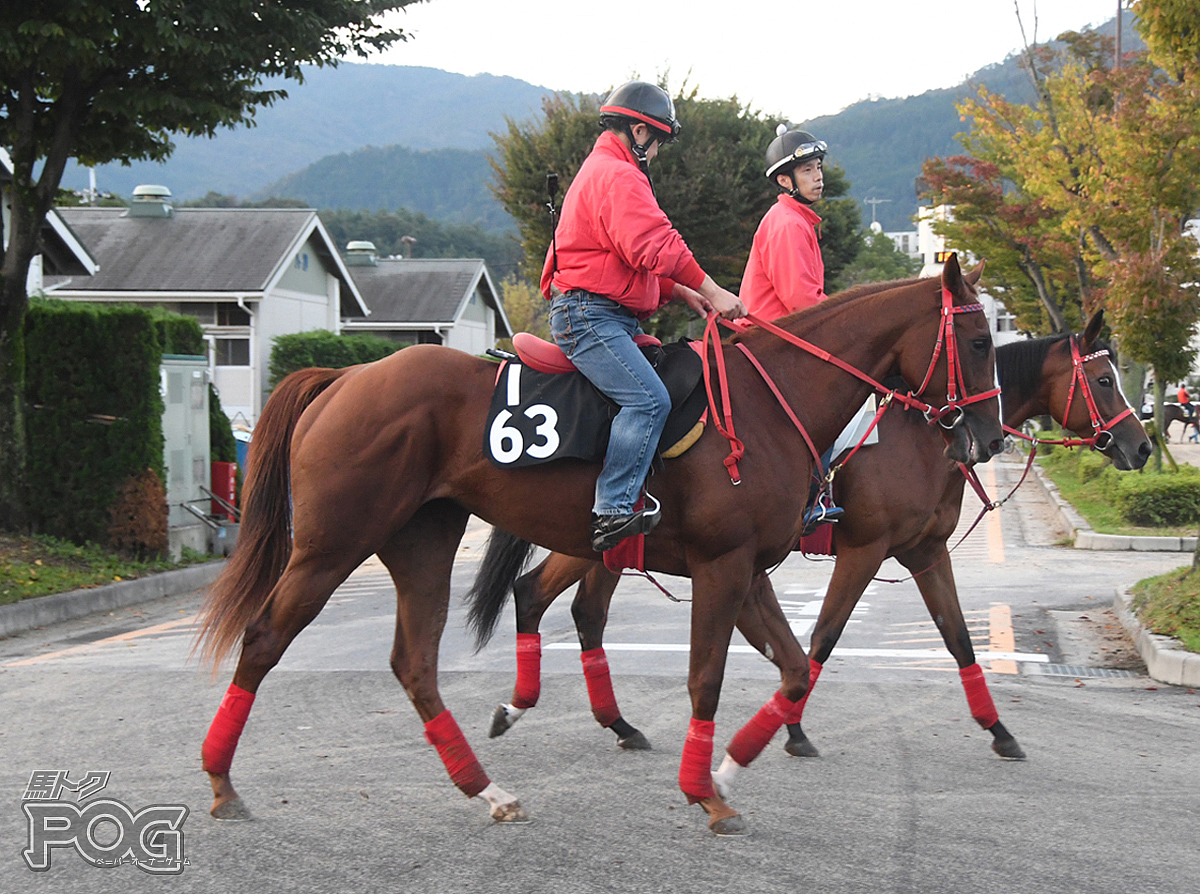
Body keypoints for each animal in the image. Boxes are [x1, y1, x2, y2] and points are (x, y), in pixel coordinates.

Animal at [196, 253, 1003, 835]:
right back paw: (222, 781)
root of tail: (344, 377)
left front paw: (729, 770)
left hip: (422, 542)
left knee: (417, 664)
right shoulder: (726, 567)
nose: (988, 437)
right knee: (265, 639)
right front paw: (704, 791)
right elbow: (708, 678)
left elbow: (799, 667)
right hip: (332, 544)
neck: (770, 403)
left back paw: (487, 788)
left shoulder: (753, 572)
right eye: (978, 339)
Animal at [468, 307, 1152, 772]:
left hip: (590, 544)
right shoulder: (864, 552)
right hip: (601, 543)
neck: (925, 437)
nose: (1142, 447)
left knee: (550, 600)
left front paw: (999, 730)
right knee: (568, 605)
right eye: (1107, 381)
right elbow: (822, 637)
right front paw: (791, 729)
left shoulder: (926, 553)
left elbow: (959, 640)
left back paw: (598, 719)